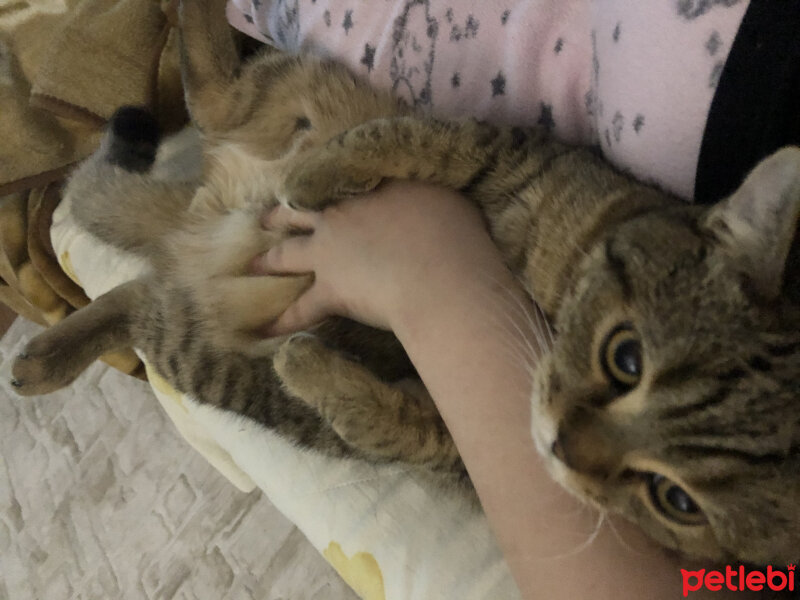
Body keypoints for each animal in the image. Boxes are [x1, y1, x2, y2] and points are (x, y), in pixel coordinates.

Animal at [12, 0, 800, 568]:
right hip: (294, 89)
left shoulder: (459, 447)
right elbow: (407, 141)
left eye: (677, 500)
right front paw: (316, 177)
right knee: (209, 97)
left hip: (197, 349)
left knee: (137, 290)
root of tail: (202, 223)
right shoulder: (503, 148)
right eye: (626, 357)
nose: (561, 443)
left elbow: (386, 420)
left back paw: (49, 355)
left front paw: (313, 366)